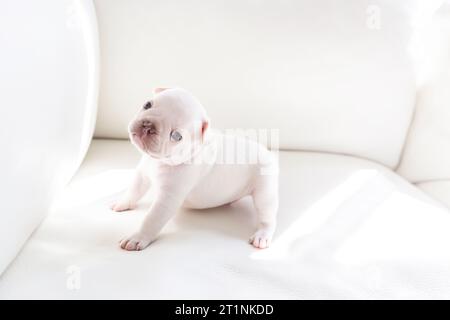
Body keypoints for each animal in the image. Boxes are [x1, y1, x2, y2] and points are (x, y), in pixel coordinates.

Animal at [111, 87, 278, 250]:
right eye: (147, 105)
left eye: (176, 136)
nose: (148, 126)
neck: (160, 161)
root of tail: (267, 152)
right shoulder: (142, 174)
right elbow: (134, 190)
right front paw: (122, 203)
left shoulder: (167, 199)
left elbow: (151, 219)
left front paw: (137, 237)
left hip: (265, 192)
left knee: (267, 217)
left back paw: (262, 236)